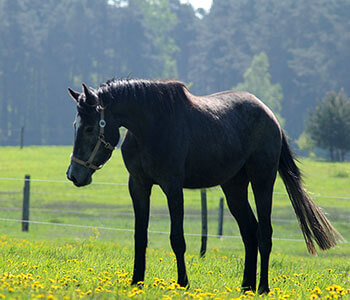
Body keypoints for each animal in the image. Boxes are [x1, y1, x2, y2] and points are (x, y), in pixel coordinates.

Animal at [65, 78, 342, 294]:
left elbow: (177, 238)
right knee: (249, 232)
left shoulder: (172, 187)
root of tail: (270, 115)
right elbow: (140, 236)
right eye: (75, 125)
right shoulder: (139, 185)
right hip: (233, 188)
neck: (151, 127)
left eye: (90, 127)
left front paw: (182, 283)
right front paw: (136, 282)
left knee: (264, 233)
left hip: (262, 181)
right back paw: (246, 286)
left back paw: (263, 287)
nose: (74, 175)